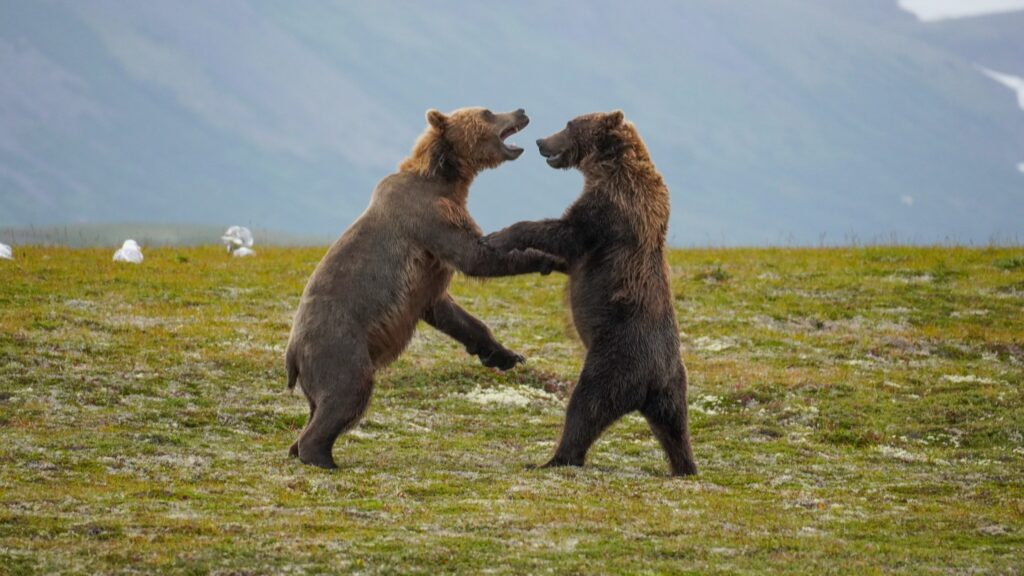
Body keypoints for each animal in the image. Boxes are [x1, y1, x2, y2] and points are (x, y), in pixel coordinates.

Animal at [286, 107, 564, 469]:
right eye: (488, 112)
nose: (521, 110)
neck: (446, 178)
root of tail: (292, 353)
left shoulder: (426, 277)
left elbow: (449, 311)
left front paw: (504, 354)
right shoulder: (429, 218)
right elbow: (475, 257)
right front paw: (547, 255)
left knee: (318, 405)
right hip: (339, 345)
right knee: (347, 392)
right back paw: (320, 456)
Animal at [484, 110, 698, 476]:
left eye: (569, 125)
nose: (541, 141)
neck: (606, 167)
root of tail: (651, 381)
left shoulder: (611, 207)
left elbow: (567, 232)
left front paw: (498, 235)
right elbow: (567, 253)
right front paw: (540, 259)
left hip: (615, 359)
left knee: (585, 406)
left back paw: (551, 458)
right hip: (673, 386)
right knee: (675, 426)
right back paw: (684, 465)